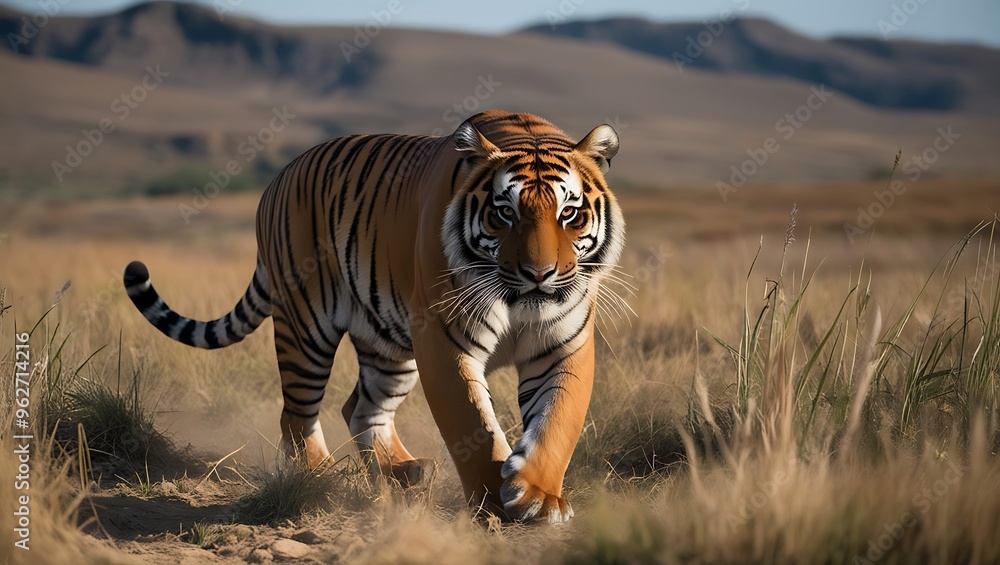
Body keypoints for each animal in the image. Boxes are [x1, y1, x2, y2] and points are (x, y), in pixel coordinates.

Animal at [123, 110, 625, 523]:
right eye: (504, 213)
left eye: (569, 213)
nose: (539, 274)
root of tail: (277, 180)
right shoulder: (444, 341)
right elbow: (472, 423)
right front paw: (492, 501)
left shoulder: (563, 346)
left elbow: (558, 420)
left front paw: (538, 497)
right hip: (306, 326)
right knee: (296, 413)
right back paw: (322, 476)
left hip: (390, 347)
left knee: (362, 407)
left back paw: (405, 470)